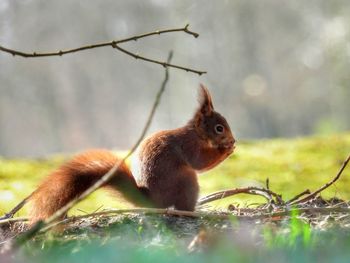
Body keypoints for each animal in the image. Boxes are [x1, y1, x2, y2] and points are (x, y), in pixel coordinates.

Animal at [2, 84, 235, 225]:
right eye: (219, 128)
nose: (232, 140)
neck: (197, 133)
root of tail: (152, 201)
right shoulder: (189, 146)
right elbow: (200, 163)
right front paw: (225, 150)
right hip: (187, 181)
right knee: (182, 204)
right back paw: (195, 211)